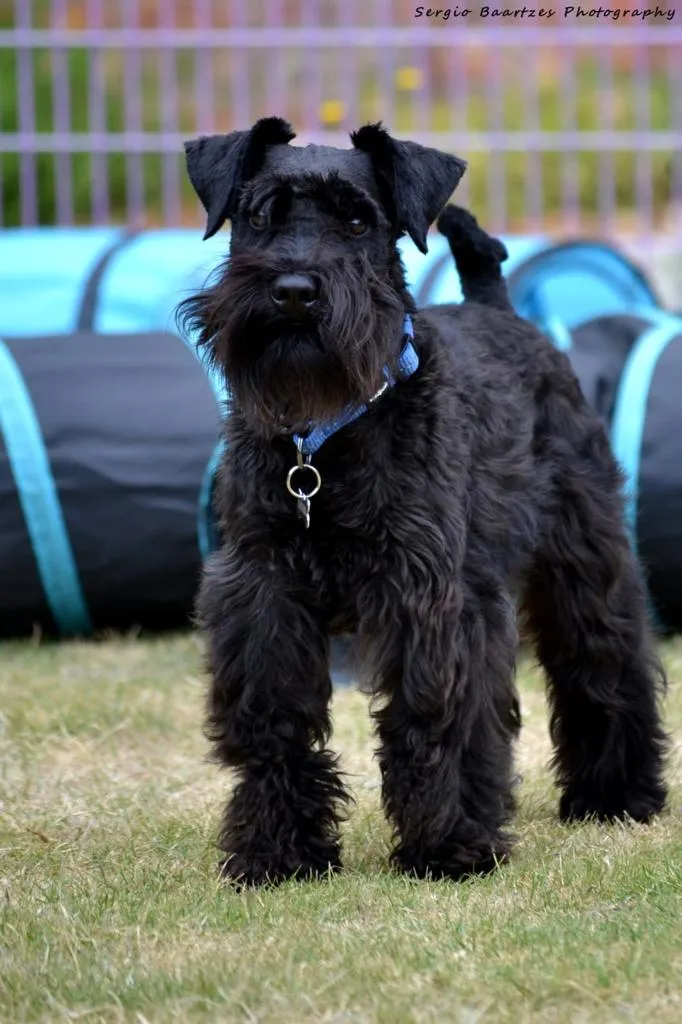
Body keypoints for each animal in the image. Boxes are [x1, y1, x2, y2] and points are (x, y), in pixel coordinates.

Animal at [178, 119, 667, 884]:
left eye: (357, 220)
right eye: (260, 215)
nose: (294, 291)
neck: (322, 443)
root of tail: (497, 308)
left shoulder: (431, 596)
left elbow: (438, 714)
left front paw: (451, 846)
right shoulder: (263, 592)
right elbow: (273, 716)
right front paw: (276, 851)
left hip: (584, 558)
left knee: (604, 660)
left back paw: (617, 795)